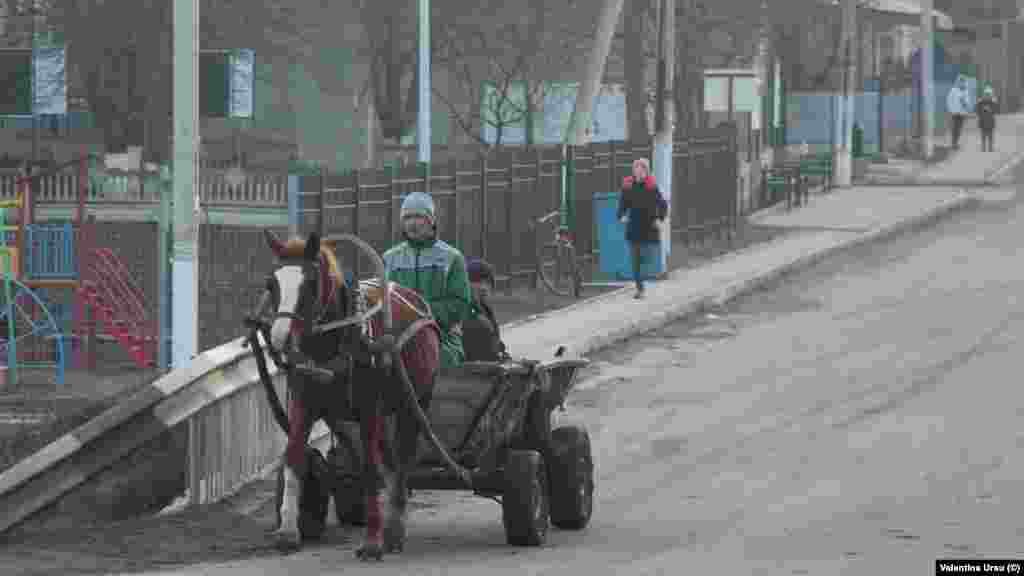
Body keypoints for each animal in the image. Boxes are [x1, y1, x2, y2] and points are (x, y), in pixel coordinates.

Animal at [262, 228, 438, 557]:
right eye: (272, 283)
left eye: (310, 283)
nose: (279, 338)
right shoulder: (304, 403)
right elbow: (294, 458)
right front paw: (288, 530)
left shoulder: (370, 408)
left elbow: (369, 469)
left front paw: (372, 541)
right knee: (390, 461)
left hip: (413, 403)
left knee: (402, 459)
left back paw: (393, 527)